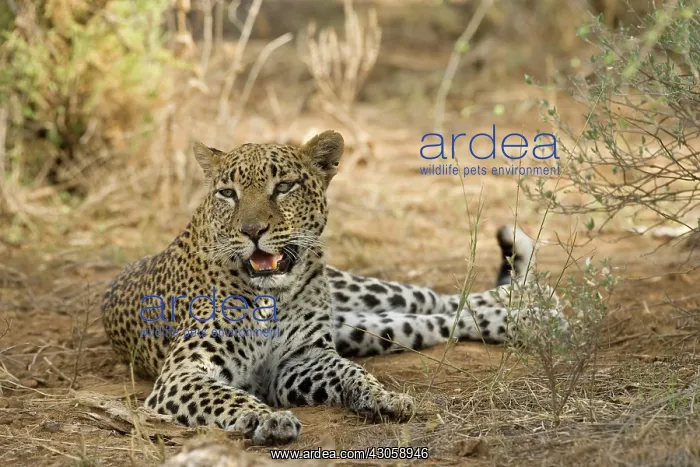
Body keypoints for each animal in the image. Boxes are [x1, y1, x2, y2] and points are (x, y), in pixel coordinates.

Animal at [101, 130, 565, 446]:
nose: (252, 231)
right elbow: (226, 397)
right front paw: (268, 419)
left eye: (283, 187)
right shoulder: (184, 373)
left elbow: (349, 370)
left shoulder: (304, 357)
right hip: (363, 328)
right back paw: (532, 317)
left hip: (360, 297)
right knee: (432, 320)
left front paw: (383, 396)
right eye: (227, 194)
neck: (272, 296)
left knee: (437, 298)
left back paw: (536, 308)